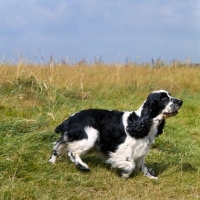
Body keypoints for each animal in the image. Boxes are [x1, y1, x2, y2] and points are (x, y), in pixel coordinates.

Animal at [48, 90, 183, 179]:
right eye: (163, 98)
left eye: (169, 95)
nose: (181, 101)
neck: (140, 121)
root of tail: (69, 119)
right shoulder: (121, 148)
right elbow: (131, 164)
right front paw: (124, 174)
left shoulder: (141, 150)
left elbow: (142, 165)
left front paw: (151, 177)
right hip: (91, 135)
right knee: (72, 152)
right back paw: (83, 166)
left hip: (71, 136)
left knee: (58, 146)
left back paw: (52, 162)